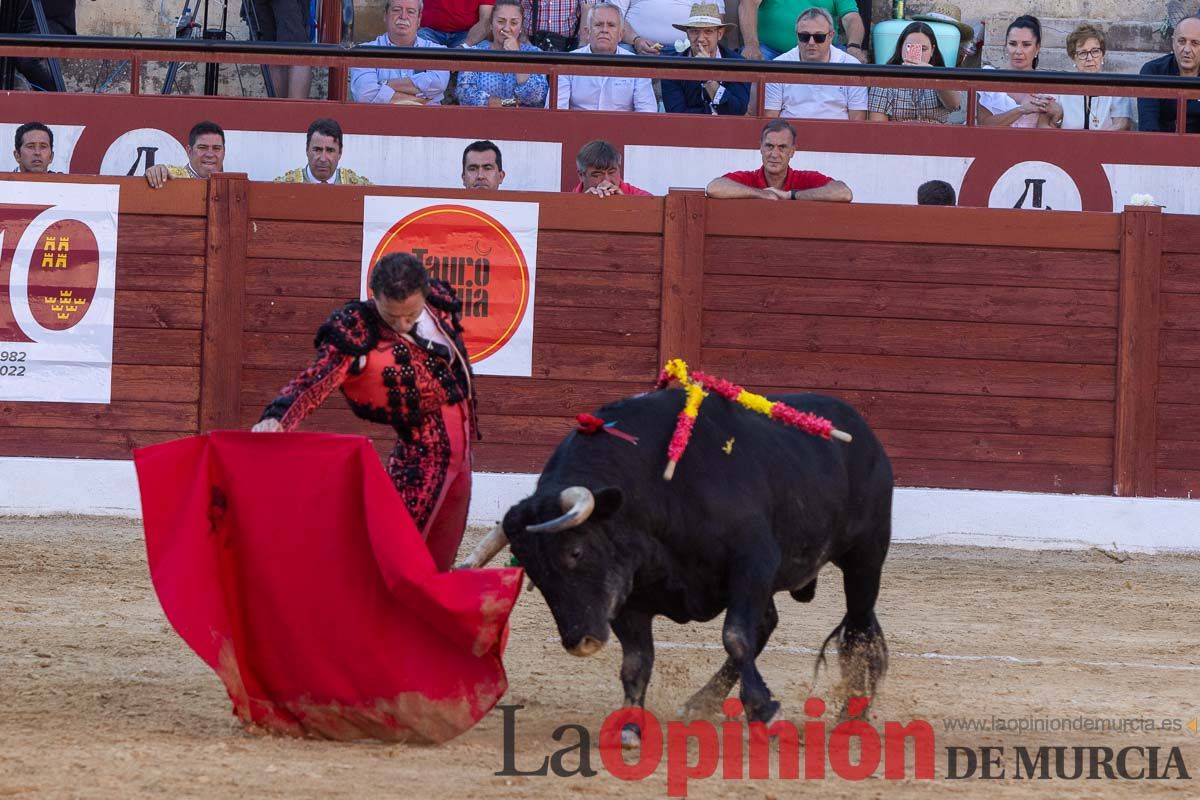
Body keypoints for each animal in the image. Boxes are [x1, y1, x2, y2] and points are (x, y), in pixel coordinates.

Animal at [458, 391, 892, 734]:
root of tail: (863, 431)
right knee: (769, 623)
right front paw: (631, 727)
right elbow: (636, 662)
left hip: (865, 555)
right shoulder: (627, 595)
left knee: (858, 627)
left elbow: (735, 635)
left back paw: (853, 712)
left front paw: (765, 710)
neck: (657, 492)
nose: (581, 641)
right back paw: (702, 702)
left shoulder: (753, 563)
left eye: (574, 552)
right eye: (534, 572)